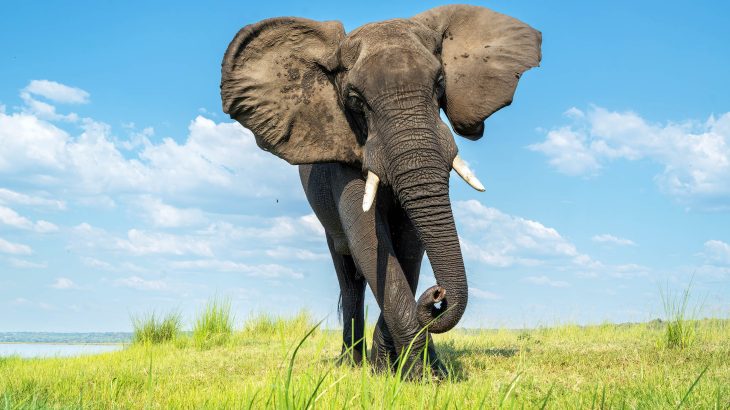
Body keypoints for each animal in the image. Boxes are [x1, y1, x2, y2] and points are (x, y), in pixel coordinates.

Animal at [220, 4, 541, 378]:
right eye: (355, 100)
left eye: (440, 84)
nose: (438, 294)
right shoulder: (342, 154)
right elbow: (369, 240)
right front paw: (410, 376)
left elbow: (408, 244)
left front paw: (414, 372)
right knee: (349, 278)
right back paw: (350, 363)